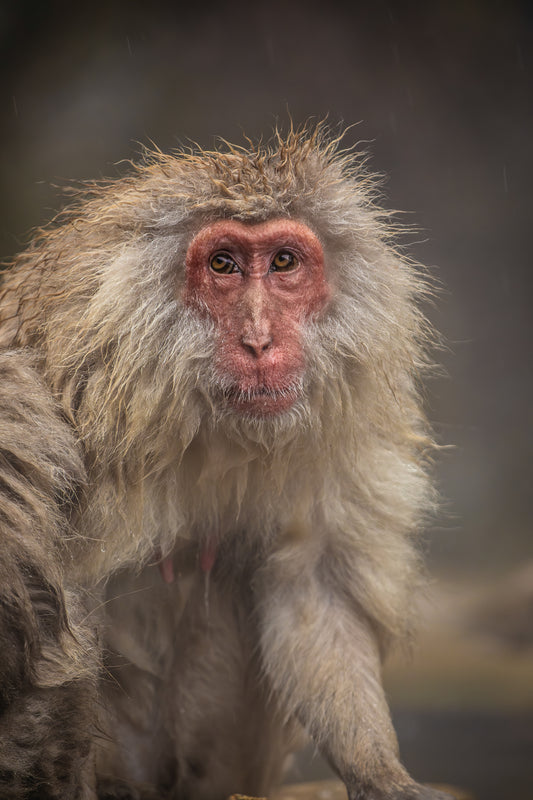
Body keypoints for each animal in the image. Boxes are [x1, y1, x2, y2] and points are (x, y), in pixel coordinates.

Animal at [0, 125, 452, 800]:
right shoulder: (50, 394)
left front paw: (379, 771)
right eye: (224, 265)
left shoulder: (338, 420)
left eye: (284, 263)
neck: (207, 418)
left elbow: (312, 584)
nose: (260, 340)